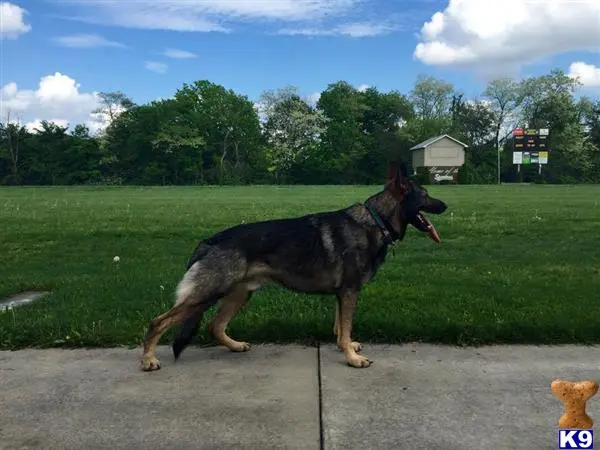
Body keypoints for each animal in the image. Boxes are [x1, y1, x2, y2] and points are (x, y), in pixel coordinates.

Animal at [141, 161, 448, 370]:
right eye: (425, 194)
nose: (446, 205)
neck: (375, 221)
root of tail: (209, 240)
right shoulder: (349, 292)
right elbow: (345, 328)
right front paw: (352, 358)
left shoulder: (342, 295)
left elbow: (341, 328)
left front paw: (347, 347)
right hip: (206, 294)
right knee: (158, 322)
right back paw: (148, 360)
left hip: (239, 294)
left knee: (214, 327)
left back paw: (236, 346)